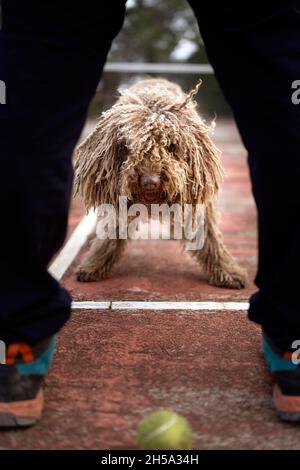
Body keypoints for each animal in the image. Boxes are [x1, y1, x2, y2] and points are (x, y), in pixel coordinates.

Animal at [74, 78, 247, 286]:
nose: (150, 182)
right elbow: (110, 234)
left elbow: (209, 236)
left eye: (171, 145)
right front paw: (95, 265)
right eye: (128, 147)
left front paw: (226, 271)